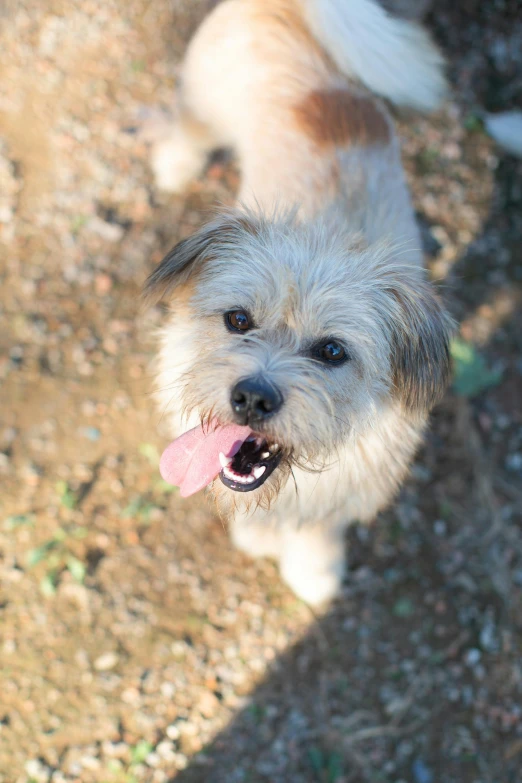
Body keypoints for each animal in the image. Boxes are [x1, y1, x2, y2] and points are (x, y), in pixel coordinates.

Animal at [144, 0, 452, 608]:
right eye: (238, 320)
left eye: (332, 351)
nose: (251, 399)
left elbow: (317, 528)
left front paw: (313, 570)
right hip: (203, 103)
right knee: (187, 130)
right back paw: (173, 167)